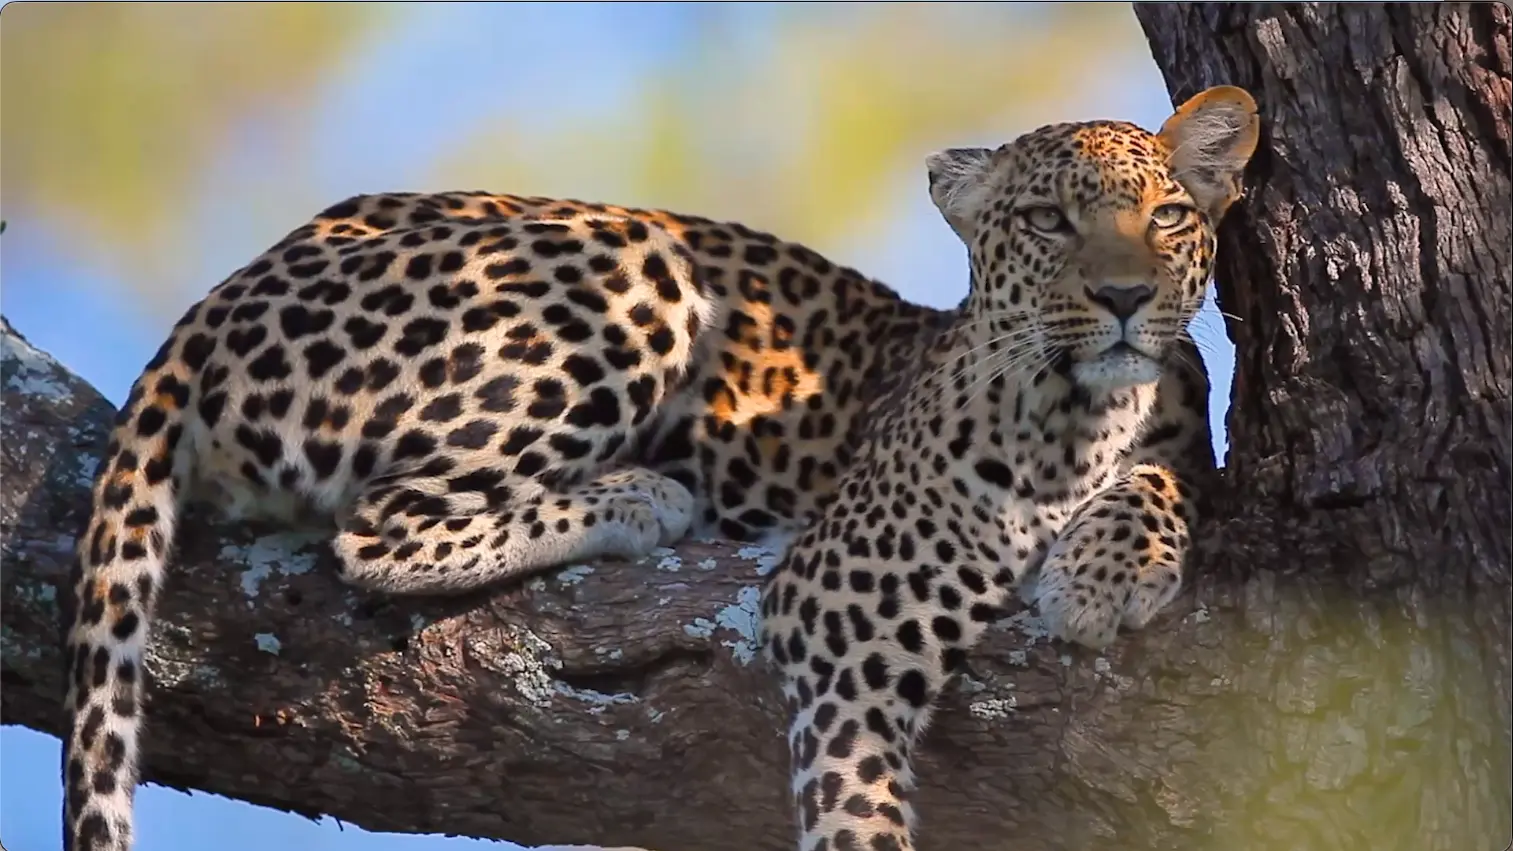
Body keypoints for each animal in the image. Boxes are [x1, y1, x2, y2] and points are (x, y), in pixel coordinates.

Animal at [759, 85, 1260, 851]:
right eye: (1046, 220)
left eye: (1167, 216)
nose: (1123, 296)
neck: (1078, 422)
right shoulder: (832, 606)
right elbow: (852, 785)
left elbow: (1166, 479)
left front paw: (1098, 580)